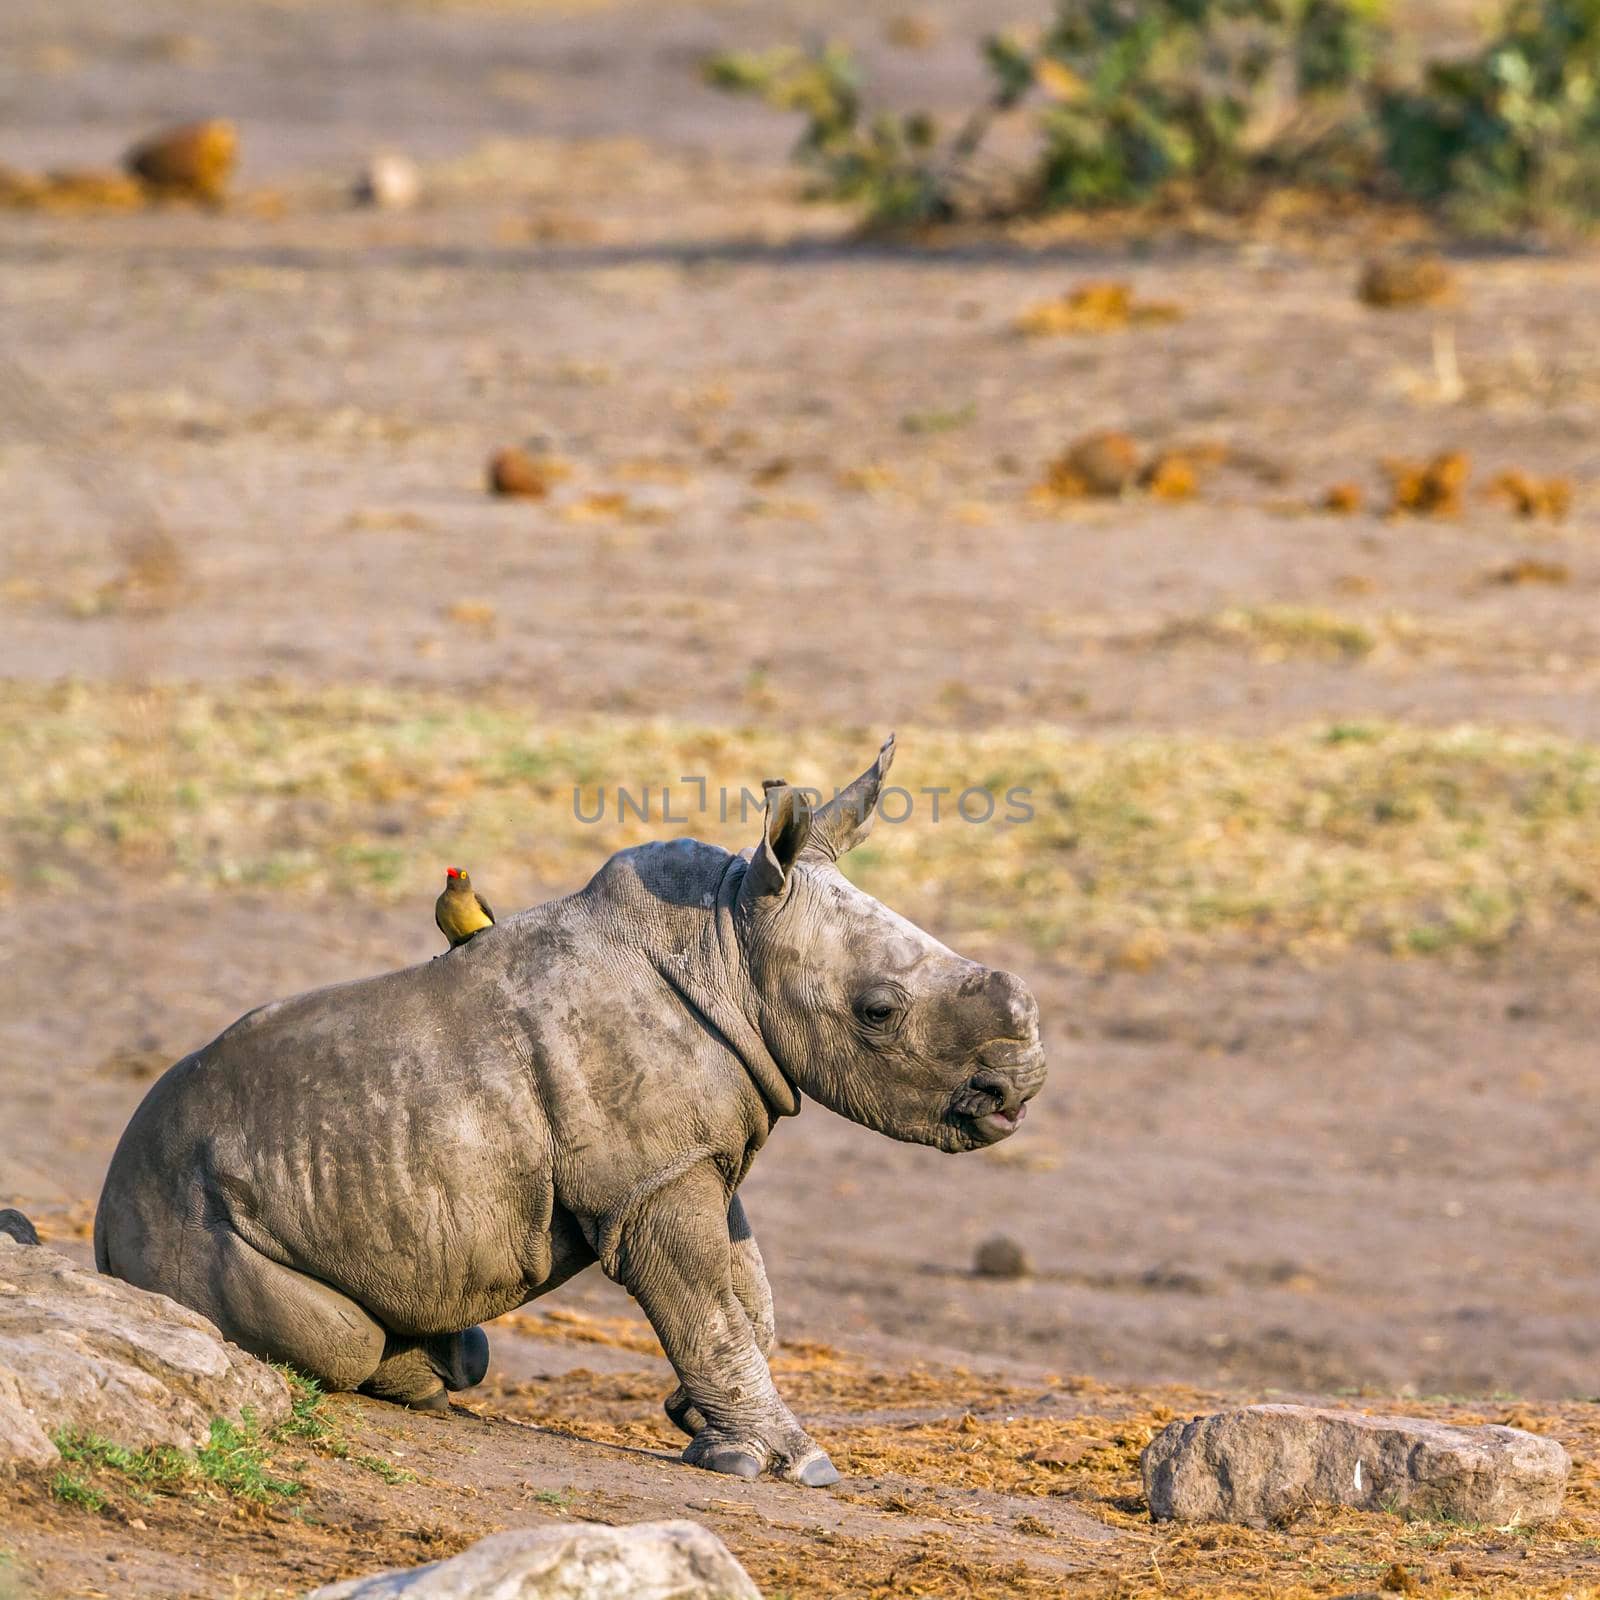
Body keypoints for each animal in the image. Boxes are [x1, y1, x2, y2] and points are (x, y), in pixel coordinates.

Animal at [100, 736, 1049, 1484]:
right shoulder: (651, 1180)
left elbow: (745, 1286)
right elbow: (706, 1301)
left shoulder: (688, 1151)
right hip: (186, 1207)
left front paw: (698, 1423)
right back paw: (418, 1382)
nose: (1019, 1091)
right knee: (338, 1338)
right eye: (879, 1012)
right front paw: (791, 1464)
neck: (727, 943)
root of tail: (106, 1221)